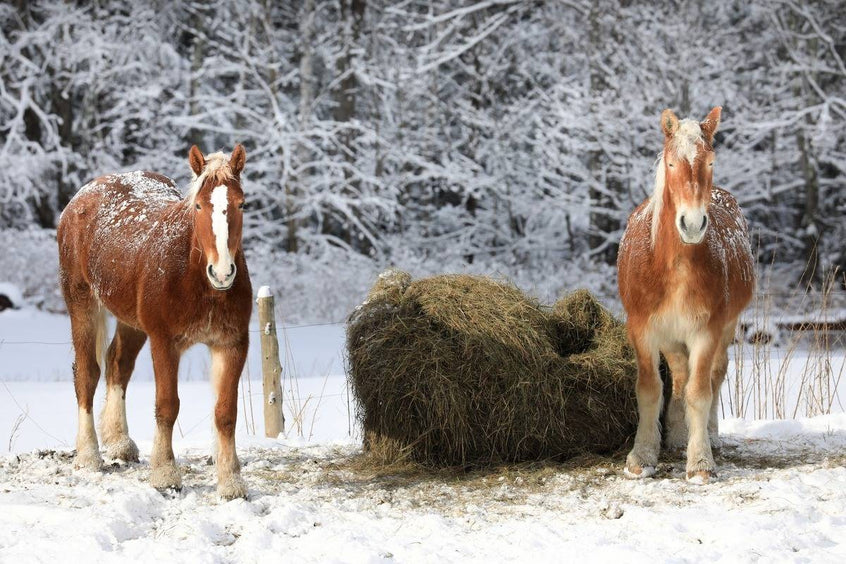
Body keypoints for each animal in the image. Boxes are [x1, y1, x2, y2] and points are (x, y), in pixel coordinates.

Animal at [57, 145, 253, 499]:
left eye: (241, 203)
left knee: (117, 364)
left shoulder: (232, 344)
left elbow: (225, 412)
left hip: (131, 323)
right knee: (88, 373)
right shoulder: (164, 342)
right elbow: (167, 405)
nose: (222, 273)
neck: (195, 279)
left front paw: (231, 482)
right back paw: (89, 455)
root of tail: (83, 195)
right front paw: (165, 474)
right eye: (199, 205)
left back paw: (119, 443)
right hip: (81, 304)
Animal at [617, 107, 755, 483]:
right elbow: (651, 390)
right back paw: (679, 435)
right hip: (671, 336)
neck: (672, 265)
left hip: (726, 328)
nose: (692, 224)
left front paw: (701, 462)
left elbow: (699, 391)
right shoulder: (643, 330)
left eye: (710, 161)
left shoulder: (706, 332)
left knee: (714, 376)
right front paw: (642, 457)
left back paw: (708, 434)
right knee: (678, 378)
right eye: (671, 163)